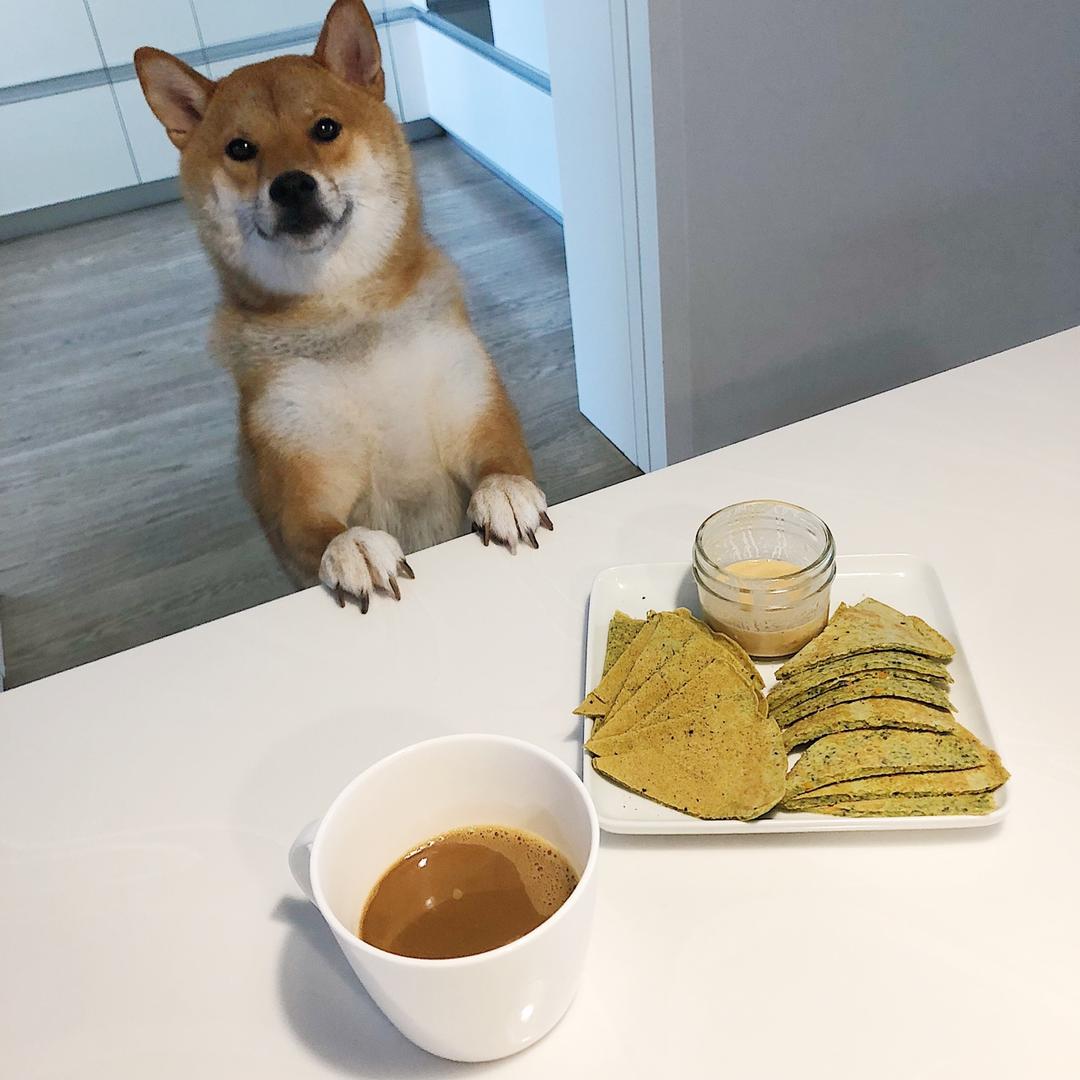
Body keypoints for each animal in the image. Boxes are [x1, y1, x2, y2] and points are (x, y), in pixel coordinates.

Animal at [136, 0, 552, 609]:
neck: (348, 314)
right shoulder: (300, 474)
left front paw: (504, 493)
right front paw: (352, 545)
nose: (290, 185)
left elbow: (504, 463)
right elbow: (319, 527)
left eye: (325, 129)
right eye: (241, 149)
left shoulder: (478, 413)